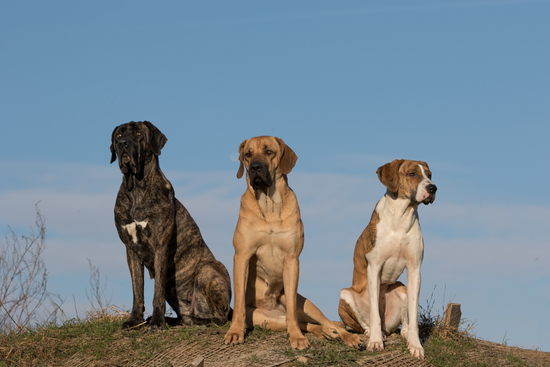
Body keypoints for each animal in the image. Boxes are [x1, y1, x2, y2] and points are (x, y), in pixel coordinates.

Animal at [111, 121, 232, 330]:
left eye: (138, 133)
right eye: (118, 135)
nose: (123, 144)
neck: (136, 189)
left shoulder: (160, 246)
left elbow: (156, 291)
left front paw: (157, 322)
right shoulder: (131, 249)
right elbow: (137, 290)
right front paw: (135, 320)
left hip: (208, 268)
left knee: (221, 317)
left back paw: (195, 320)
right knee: (184, 315)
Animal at [222, 136, 364, 350]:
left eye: (269, 152)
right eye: (247, 154)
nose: (255, 168)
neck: (269, 206)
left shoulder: (292, 259)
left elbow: (292, 314)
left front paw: (297, 338)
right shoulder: (242, 256)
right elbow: (238, 302)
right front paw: (235, 332)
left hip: (305, 305)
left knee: (321, 321)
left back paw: (346, 336)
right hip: (265, 320)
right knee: (307, 324)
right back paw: (325, 333)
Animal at [338, 159, 438, 360]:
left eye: (430, 175)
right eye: (412, 174)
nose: (433, 188)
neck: (401, 217)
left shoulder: (415, 269)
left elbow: (414, 315)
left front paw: (416, 345)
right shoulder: (374, 267)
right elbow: (375, 314)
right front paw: (376, 342)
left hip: (402, 288)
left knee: (403, 321)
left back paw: (403, 333)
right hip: (345, 294)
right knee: (365, 323)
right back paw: (373, 333)